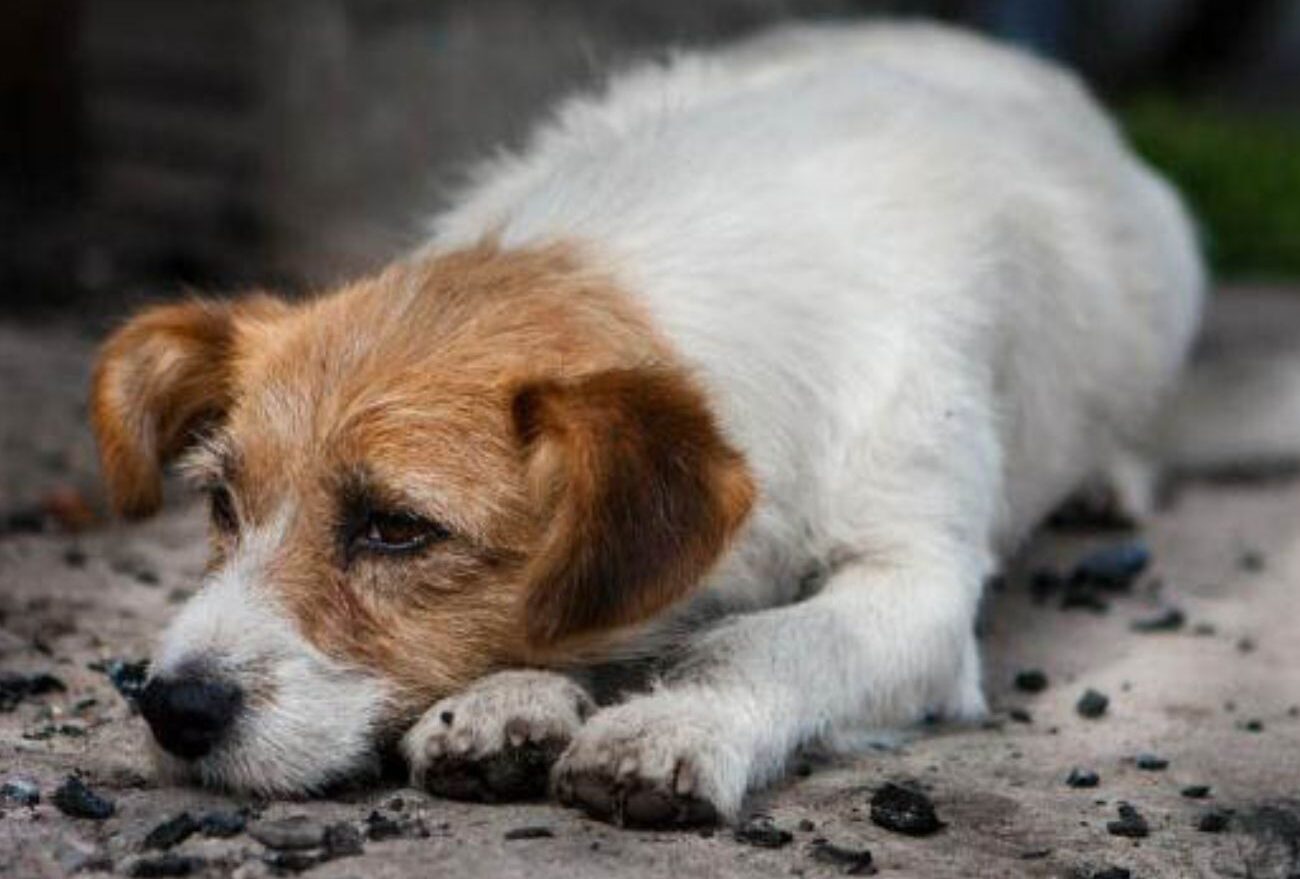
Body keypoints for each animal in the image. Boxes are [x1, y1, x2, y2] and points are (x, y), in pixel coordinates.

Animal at [94, 24, 1206, 826]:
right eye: (221, 502)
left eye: (398, 528)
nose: (172, 706)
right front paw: (508, 701)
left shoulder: (916, 585)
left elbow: (767, 642)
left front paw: (671, 722)